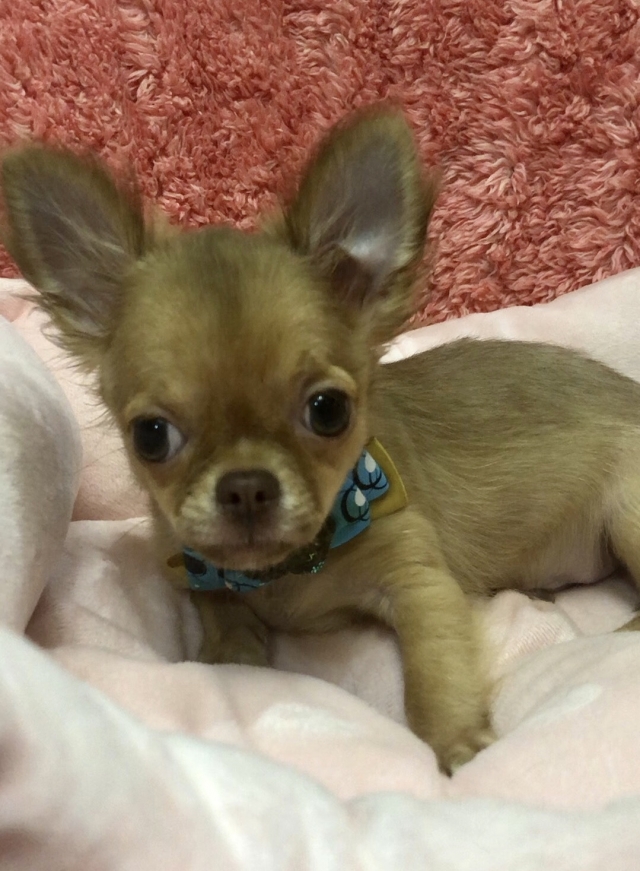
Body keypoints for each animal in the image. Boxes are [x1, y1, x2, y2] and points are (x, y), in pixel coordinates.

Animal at [3, 106, 640, 773]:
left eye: (328, 411)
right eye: (151, 436)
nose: (246, 487)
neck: (288, 570)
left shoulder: (419, 581)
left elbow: (434, 675)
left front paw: (460, 746)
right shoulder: (195, 565)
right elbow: (220, 607)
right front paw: (231, 651)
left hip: (630, 513)